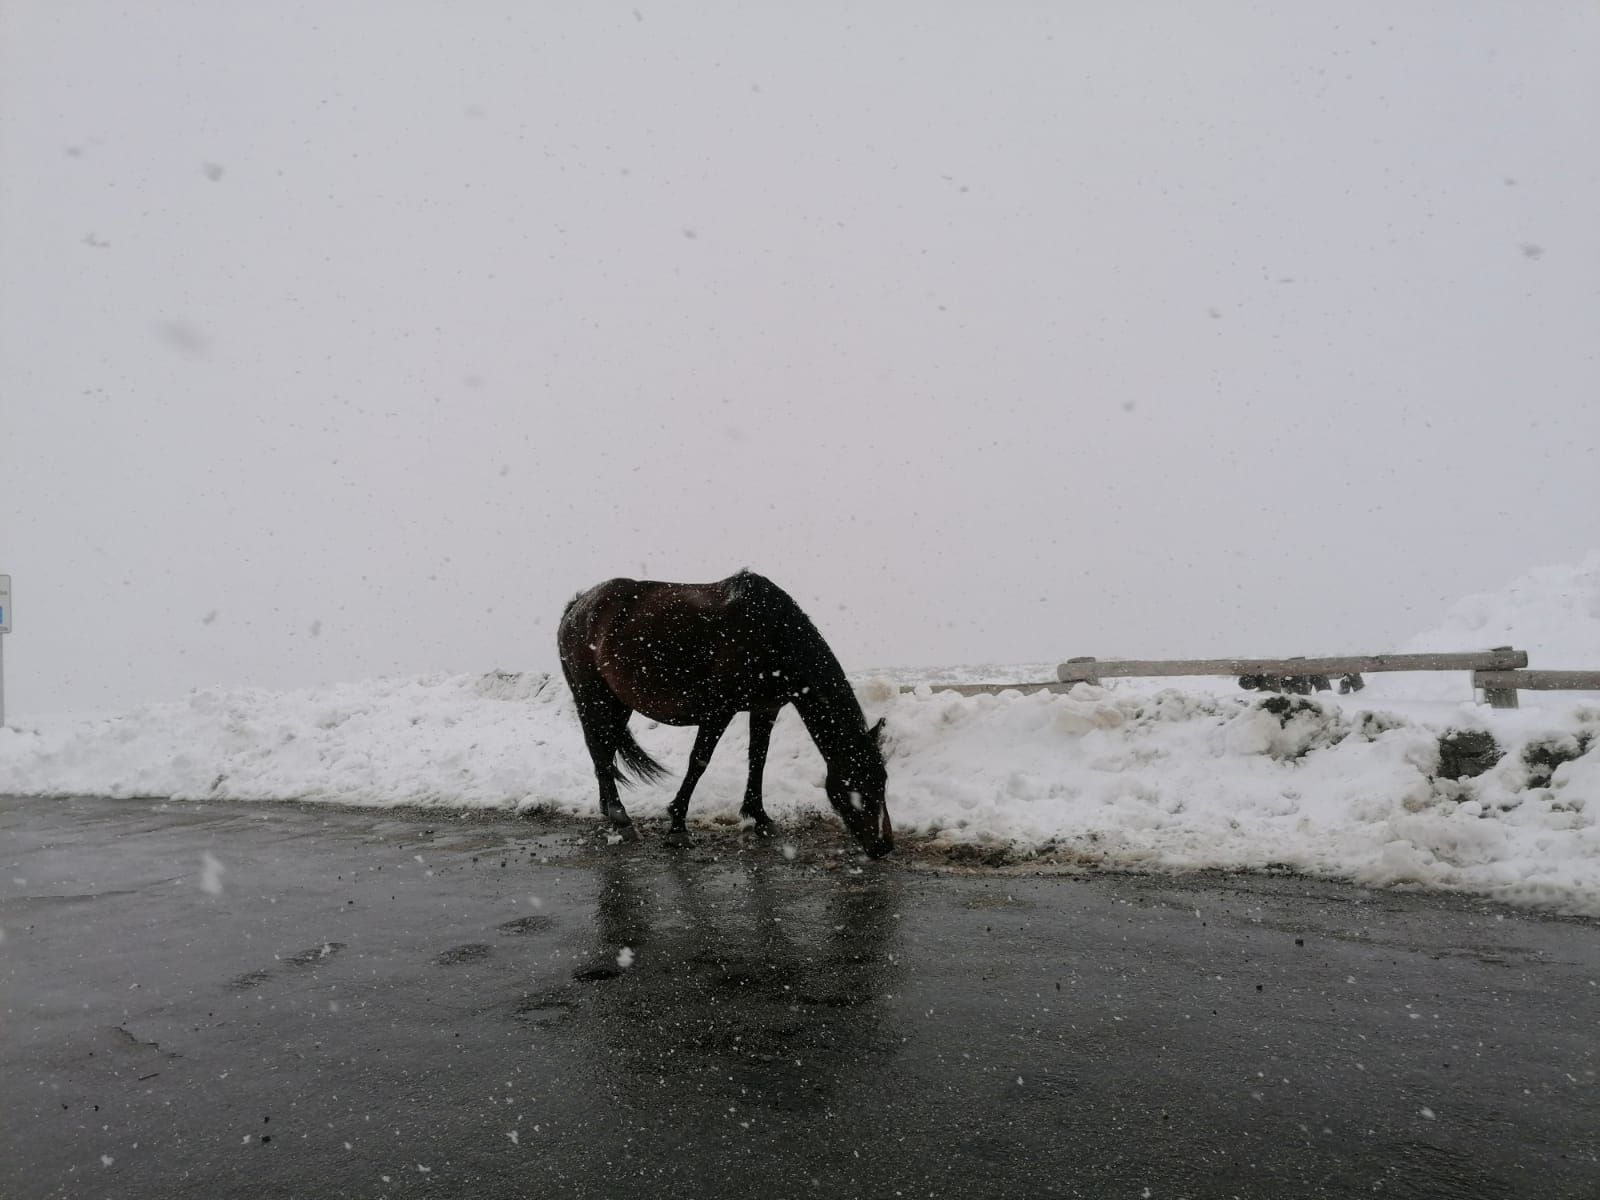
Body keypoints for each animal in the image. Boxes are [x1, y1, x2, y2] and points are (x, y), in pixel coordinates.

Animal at [556, 569, 896, 857]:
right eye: (857, 784)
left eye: (883, 780)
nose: (884, 846)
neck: (771, 634)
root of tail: (577, 606)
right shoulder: (718, 711)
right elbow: (699, 762)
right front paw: (678, 827)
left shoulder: (765, 708)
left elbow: (758, 759)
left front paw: (760, 819)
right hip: (594, 697)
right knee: (599, 749)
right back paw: (621, 819)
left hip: (618, 702)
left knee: (604, 749)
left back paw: (611, 813)